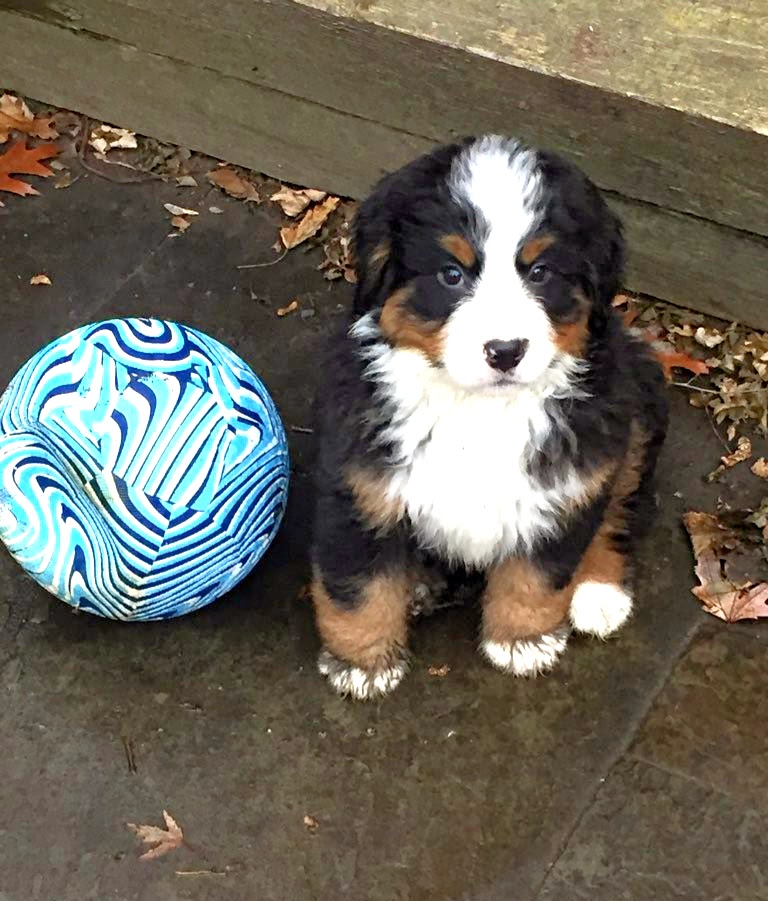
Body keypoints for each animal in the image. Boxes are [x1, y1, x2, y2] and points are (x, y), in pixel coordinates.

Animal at [310, 135, 664, 696]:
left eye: (540, 272)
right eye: (451, 275)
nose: (505, 351)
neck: (479, 408)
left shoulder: (568, 478)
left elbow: (539, 573)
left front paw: (523, 641)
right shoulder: (360, 482)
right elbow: (358, 587)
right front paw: (362, 665)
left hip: (635, 406)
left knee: (620, 508)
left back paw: (597, 591)